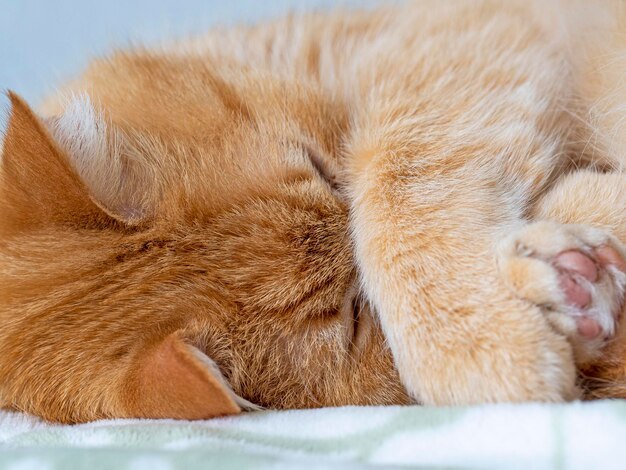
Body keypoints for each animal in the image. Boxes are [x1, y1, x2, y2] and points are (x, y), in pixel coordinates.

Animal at [1, 0, 624, 424]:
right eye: (355, 315)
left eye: (323, 168)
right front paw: (571, 278)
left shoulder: (460, 37)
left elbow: (397, 175)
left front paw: (478, 337)